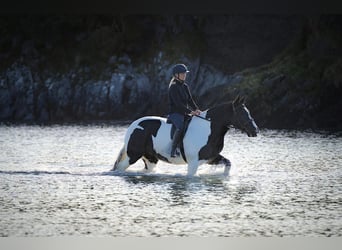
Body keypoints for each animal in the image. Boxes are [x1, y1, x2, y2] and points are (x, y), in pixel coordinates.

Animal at [112, 95, 260, 176]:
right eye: (242, 113)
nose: (255, 130)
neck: (208, 129)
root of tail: (134, 125)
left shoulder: (211, 158)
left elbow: (228, 164)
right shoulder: (193, 163)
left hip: (150, 159)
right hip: (132, 156)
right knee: (120, 168)